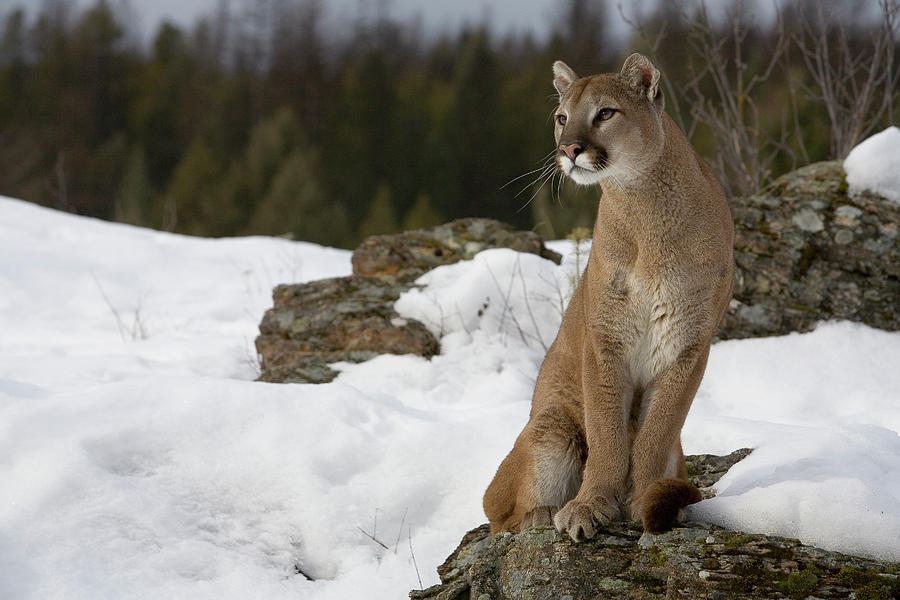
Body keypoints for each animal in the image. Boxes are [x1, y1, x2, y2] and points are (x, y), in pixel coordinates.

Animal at [486, 52, 732, 540]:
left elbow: (656, 432)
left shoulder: (688, 344)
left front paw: (643, 497)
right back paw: (542, 514)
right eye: (562, 118)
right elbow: (605, 433)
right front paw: (590, 504)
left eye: (604, 113)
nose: (568, 149)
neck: (645, 211)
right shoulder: (604, 340)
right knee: (498, 517)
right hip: (551, 424)